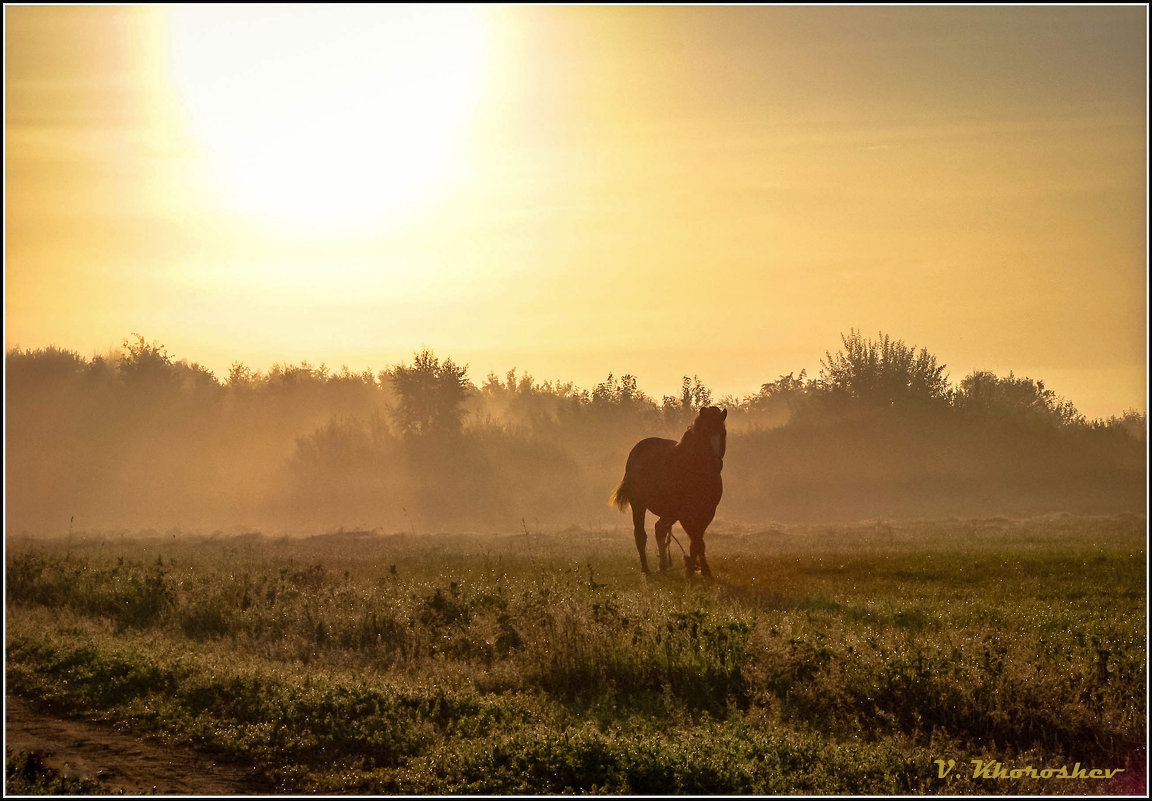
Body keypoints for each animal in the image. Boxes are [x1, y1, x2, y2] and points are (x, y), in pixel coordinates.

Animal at [608, 407, 723, 576]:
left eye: (723, 432)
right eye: (705, 434)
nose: (716, 464)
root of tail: (638, 449)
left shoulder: (707, 512)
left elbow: (698, 540)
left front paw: (701, 569)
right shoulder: (684, 514)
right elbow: (696, 540)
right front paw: (692, 569)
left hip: (670, 513)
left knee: (660, 529)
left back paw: (663, 565)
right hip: (639, 505)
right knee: (641, 535)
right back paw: (646, 569)